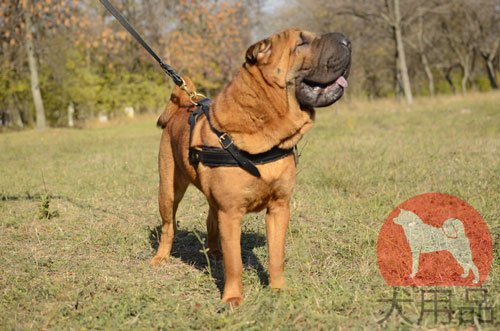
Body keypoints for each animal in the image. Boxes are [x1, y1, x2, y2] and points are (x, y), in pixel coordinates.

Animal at [152, 29, 352, 308]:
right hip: (169, 190)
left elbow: (276, 254)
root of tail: (182, 106)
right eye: (301, 43)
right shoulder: (231, 212)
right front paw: (232, 298)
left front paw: (278, 289)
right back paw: (161, 258)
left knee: (210, 220)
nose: (346, 39)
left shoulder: (279, 207)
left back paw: (214, 252)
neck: (265, 128)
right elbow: (234, 262)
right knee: (168, 226)